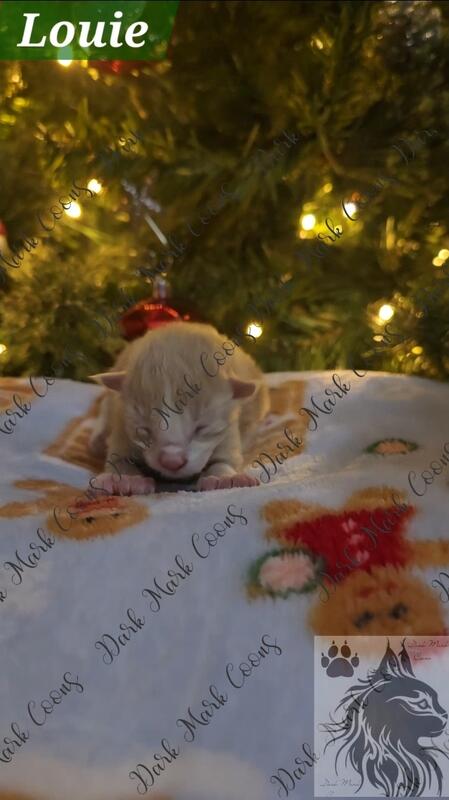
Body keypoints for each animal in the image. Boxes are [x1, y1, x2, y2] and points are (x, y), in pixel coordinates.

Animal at [89, 322, 270, 494]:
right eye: (144, 430)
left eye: (202, 428)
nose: (172, 462)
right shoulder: (122, 423)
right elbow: (119, 458)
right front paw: (125, 479)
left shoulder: (230, 428)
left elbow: (225, 460)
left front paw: (225, 479)